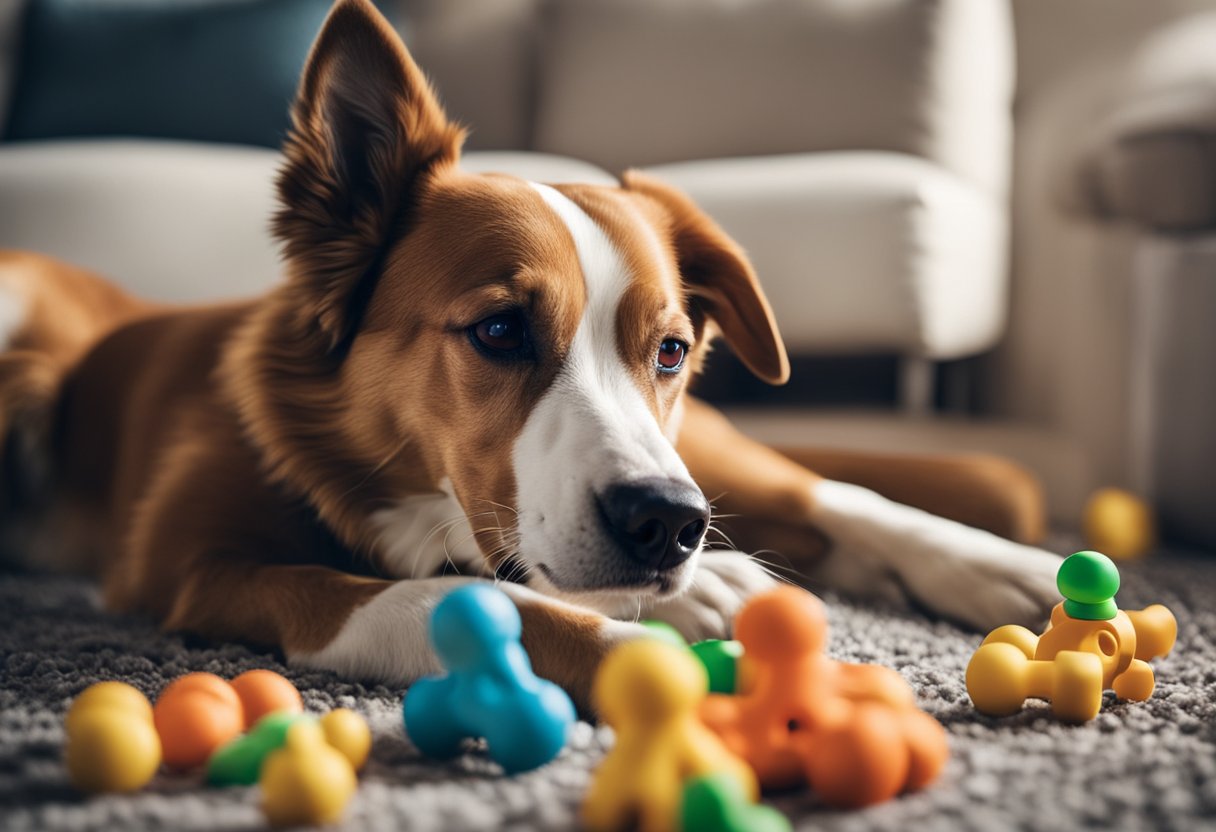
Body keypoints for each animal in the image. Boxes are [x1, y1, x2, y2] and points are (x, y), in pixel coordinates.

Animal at [2, 0, 1065, 710]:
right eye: (500, 330)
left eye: (670, 349)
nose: (666, 527)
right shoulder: (193, 570)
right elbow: (466, 597)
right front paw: (651, 656)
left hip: (693, 450)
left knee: (824, 490)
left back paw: (1008, 570)